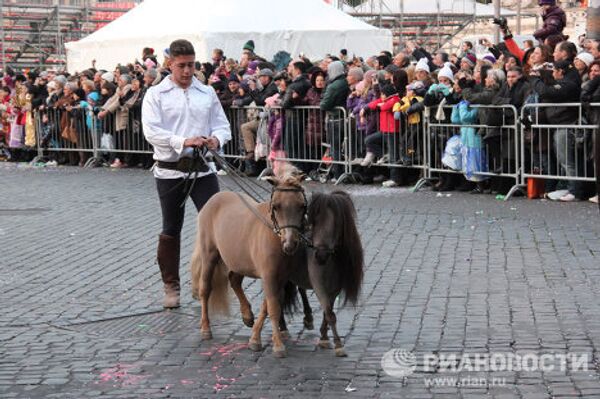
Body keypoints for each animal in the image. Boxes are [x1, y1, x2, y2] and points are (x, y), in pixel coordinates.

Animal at [190, 166, 308, 360]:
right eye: (276, 206)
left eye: (302, 206)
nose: (290, 244)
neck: (274, 235)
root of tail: (214, 199)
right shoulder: (269, 276)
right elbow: (273, 307)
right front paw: (278, 345)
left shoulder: (280, 277)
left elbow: (268, 305)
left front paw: (255, 339)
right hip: (209, 255)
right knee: (205, 289)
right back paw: (206, 328)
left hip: (239, 260)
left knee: (234, 279)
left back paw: (247, 315)